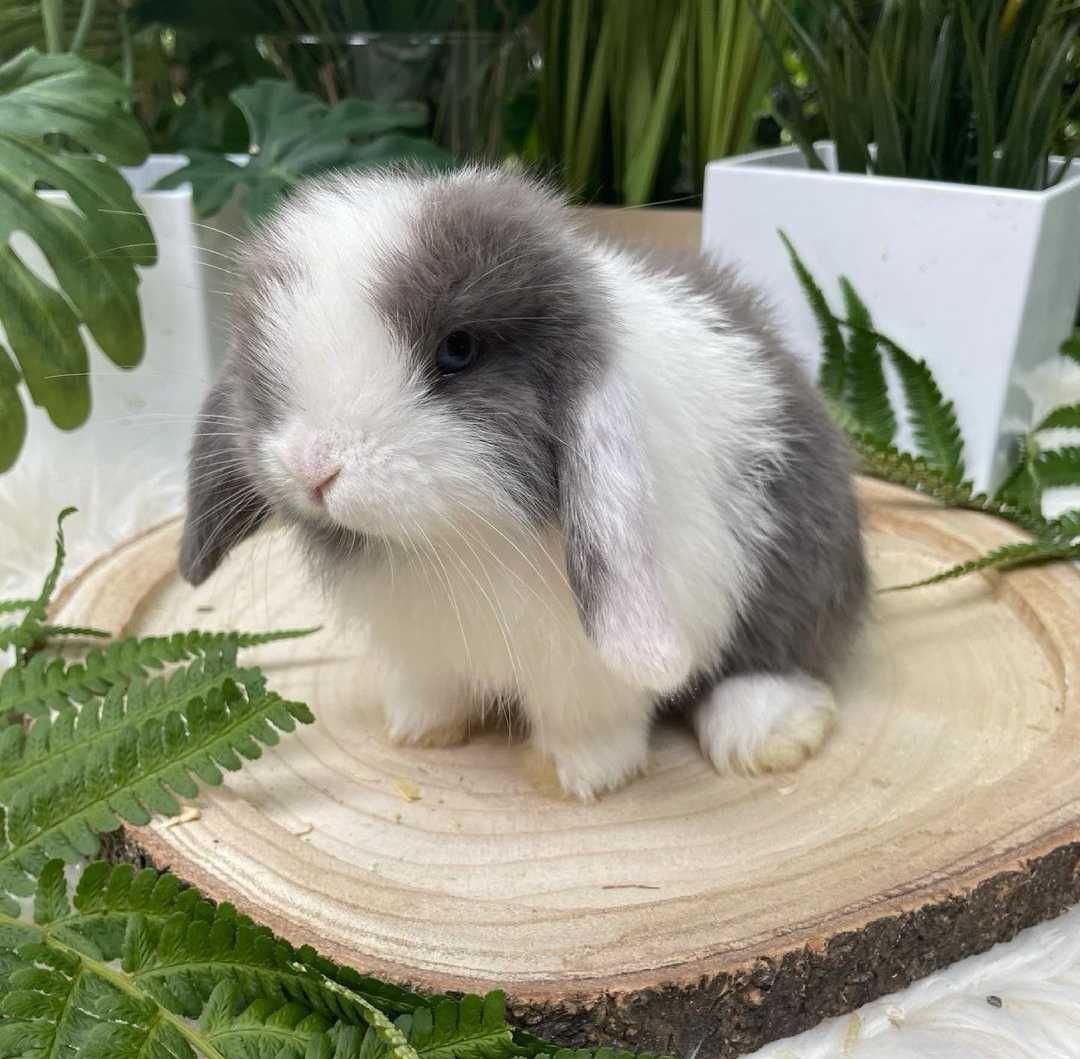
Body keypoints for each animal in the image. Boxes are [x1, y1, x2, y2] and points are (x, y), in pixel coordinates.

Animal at [179, 165, 868, 798]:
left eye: (457, 350)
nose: (313, 466)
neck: (452, 540)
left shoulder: (592, 665)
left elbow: (591, 721)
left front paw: (582, 778)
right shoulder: (421, 650)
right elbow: (431, 689)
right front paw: (420, 731)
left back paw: (767, 733)